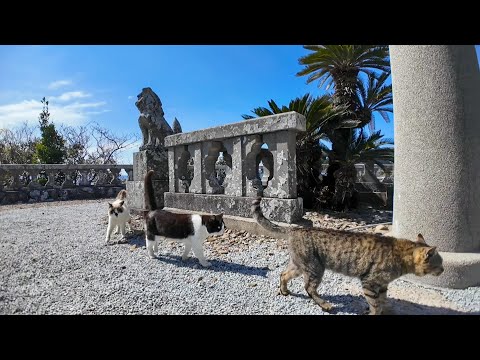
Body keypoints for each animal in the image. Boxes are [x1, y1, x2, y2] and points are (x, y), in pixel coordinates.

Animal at [253, 197, 444, 316]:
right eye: (440, 263)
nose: (443, 270)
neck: (402, 256)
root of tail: (295, 229)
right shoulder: (369, 282)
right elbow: (375, 303)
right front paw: (374, 312)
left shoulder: (382, 285)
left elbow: (382, 300)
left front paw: (383, 309)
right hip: (315, 268)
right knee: (309, 287)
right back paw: (324, 304)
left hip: (300, 265)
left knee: (283, 274)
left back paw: (284, 290)